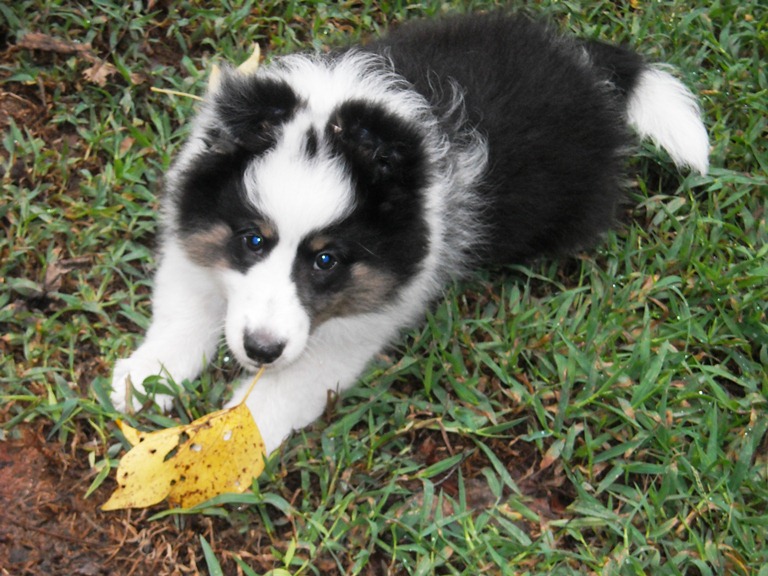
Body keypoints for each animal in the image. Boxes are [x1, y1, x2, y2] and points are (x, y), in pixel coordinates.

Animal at [111, 13, 712, 452]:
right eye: (252, 240)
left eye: (326, 261)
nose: (260, 350)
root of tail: (582, 65)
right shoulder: (193, 229)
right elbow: (185, 306)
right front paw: (144, 376)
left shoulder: (360, 323)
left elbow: (285, 390)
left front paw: (220, 442)